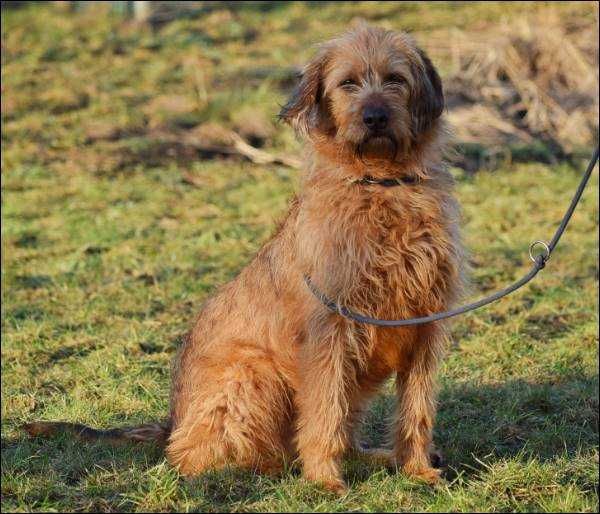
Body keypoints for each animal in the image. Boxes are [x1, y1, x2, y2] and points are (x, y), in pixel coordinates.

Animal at [23, 23, 464, 492]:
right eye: (348, 83)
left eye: (395, 79)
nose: (375, 117)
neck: (380, 185)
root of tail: (172, 421)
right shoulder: (330, 331)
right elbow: (324, 412)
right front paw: (324, 480)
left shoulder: (424, 327)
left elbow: (416, 411)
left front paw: (417, 469)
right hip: (251, 373)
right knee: (192, 454)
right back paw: (269, 467)